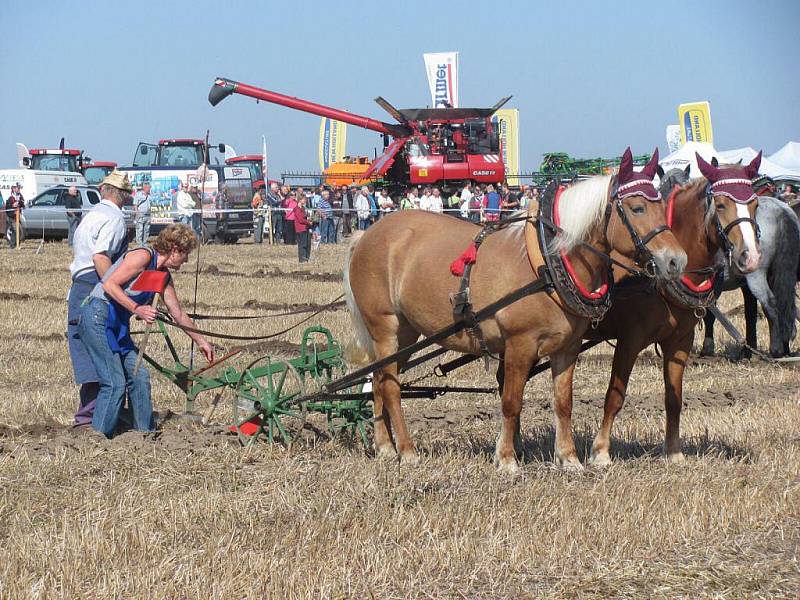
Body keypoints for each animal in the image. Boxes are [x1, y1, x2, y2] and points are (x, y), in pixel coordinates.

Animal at [344, 148, 688, 472]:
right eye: (637, 207)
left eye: (664, 206)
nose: (676, 260)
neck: (548, 264)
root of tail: (367, 234)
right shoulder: (519, 344)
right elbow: (511, 401)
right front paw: (507, 459)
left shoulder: (567, 347)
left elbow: (563, 402)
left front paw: (569, 458)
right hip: (385, 327)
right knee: (390, 386)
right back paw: (407, 451)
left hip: (405, 333)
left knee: (379, 379)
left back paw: (385, 447)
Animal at [588, 152, 764, 466]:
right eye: (721, 204)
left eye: (755, 203)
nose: (751, 257)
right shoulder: (629, 340)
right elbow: (615, 396)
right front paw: (601, 451)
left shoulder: (680, 341)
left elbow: (674, 397)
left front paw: (673, 451)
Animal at [660, 164, 796, 356]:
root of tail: (782, 210)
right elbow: (748, 313)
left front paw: (707, 348)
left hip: (756, 276)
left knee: (771, 303)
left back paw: (775, 350)